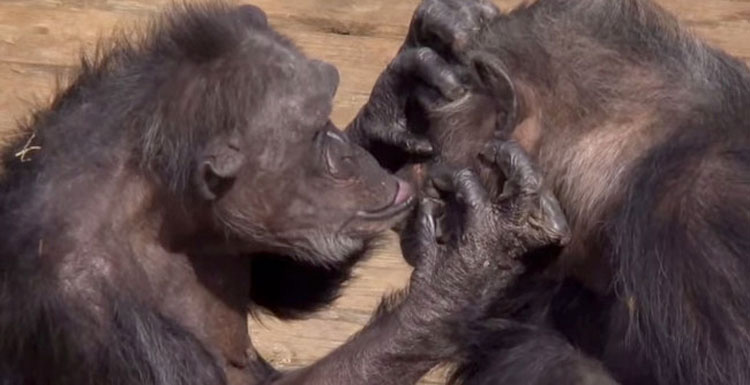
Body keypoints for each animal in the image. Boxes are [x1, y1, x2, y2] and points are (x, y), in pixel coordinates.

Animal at [0, 3, 568, 384]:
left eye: (327, 117)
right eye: (315, 134)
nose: (345, 149)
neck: (160, 204)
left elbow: (285, 279)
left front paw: (402, 93)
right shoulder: (91, 311)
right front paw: (473, 264)